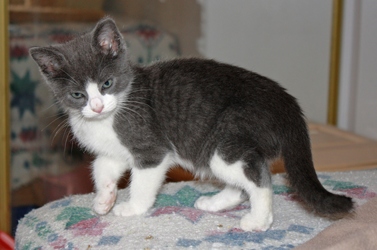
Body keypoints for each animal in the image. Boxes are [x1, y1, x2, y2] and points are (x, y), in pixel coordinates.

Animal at [29, 18, 352, 232]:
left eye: (106, 83)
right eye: (77, 95)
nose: (96, 106)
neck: (113, 113)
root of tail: (286, 102)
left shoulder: (151, 147)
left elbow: (142, 181)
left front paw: (132, 207)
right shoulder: (113, 151)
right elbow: (102, 168)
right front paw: (103, 200)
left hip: (226, 139)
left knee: (259, 174)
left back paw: (258, 221)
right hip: (214, 149)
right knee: (241, 182)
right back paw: (215, 203)